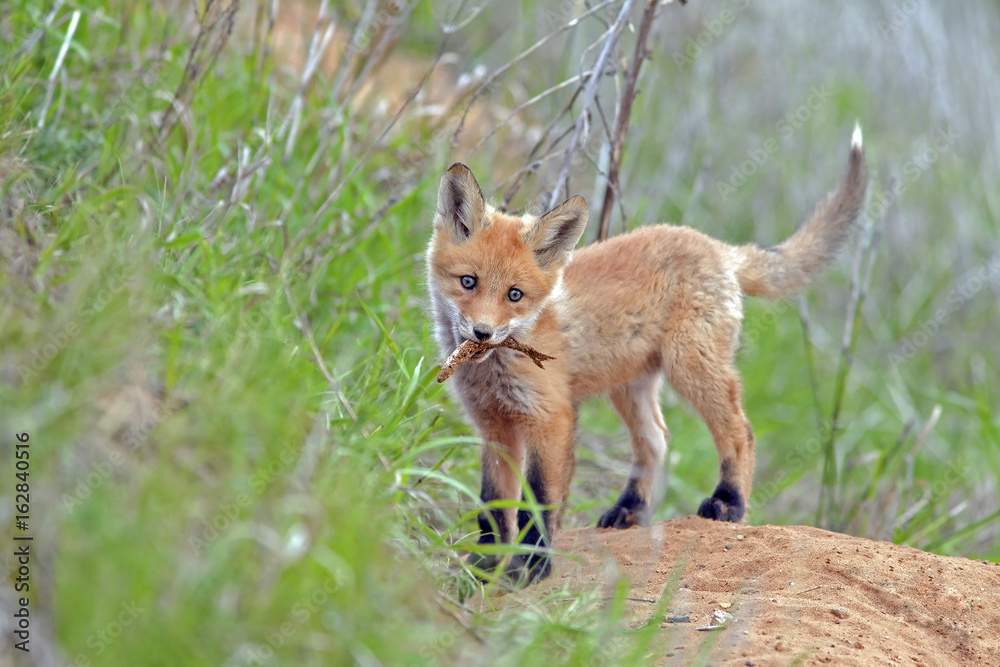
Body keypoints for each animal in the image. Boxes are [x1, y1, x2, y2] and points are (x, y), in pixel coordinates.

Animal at [427, 126, 867, 583]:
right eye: (468, 282)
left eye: (515, 295)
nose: (482, 333)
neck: (495, 374)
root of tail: (718, 246)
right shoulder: (494, 426)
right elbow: (492, 505)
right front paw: (486, 565)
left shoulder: (551, 418)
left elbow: (540, 500)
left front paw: (533, 564)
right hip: (631, 387)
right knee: (656, 441)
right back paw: (630, 510)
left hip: (691, 367)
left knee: (739, 431)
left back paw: (729, 502)